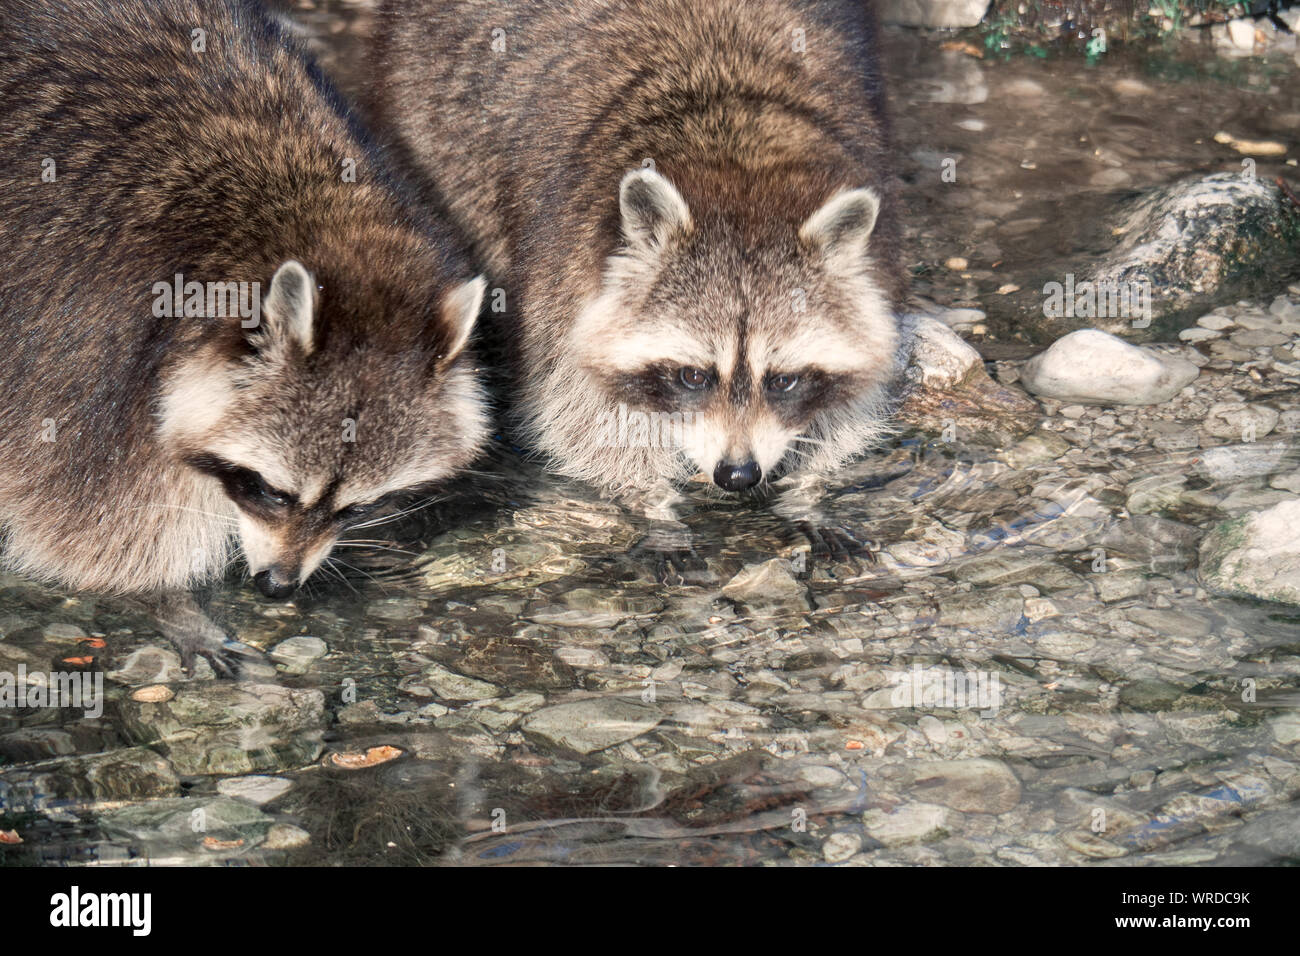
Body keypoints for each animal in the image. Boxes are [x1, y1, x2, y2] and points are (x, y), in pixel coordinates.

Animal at [371, 0, 909, 530]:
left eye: (783, 380)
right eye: (693, 376)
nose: (737, 474)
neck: (738, 158)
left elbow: (850, 408)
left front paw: (809, 485)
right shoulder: (565, 276)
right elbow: (578, 415)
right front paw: (648, 498)